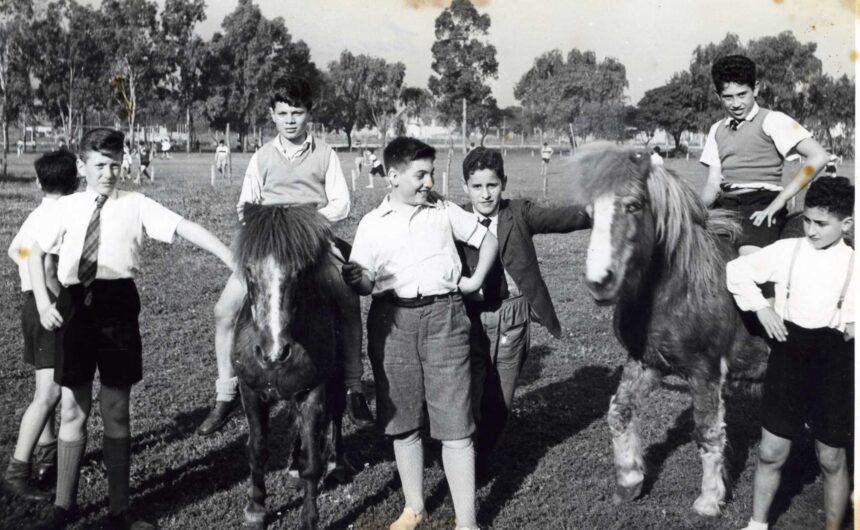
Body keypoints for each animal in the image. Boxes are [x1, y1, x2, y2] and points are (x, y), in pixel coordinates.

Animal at [232, 203, 350, 528]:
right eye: (249, 271)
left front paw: (309, 516)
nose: (273, 353)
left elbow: (313, 460)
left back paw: (337, 464)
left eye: (298, 272)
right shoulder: (251, 392)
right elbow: (257, 450)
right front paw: (256, 508)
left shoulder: (313, 392)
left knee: (336, 414)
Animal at [572, 144, 764, 516]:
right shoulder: (646, 363)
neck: (682, 289)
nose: (599, 282)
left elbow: (707, 432)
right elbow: (620, 412)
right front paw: (629, 481)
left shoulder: (705, 373)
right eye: (589, 213)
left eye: (633, 205)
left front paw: (709, 500)